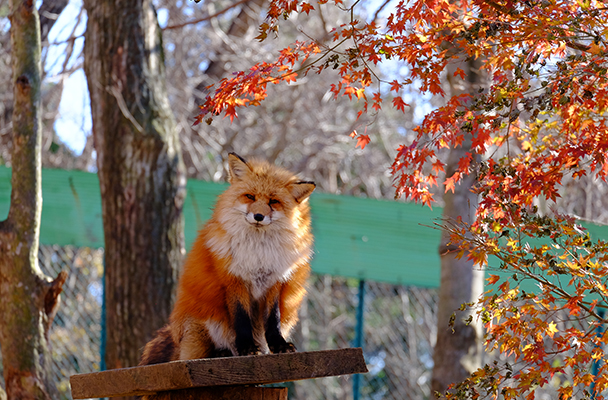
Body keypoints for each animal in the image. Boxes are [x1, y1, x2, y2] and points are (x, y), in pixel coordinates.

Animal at [140, 152, 316, 364]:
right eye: (250, 196)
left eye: (273, 201)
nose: (258, 216)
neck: (257, 252)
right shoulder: (233, 279)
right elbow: (241, 319)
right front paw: (247, 348)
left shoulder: (274, 282)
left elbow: (272, 320)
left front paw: (279, 345)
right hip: (201, 328)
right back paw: (221, 352)